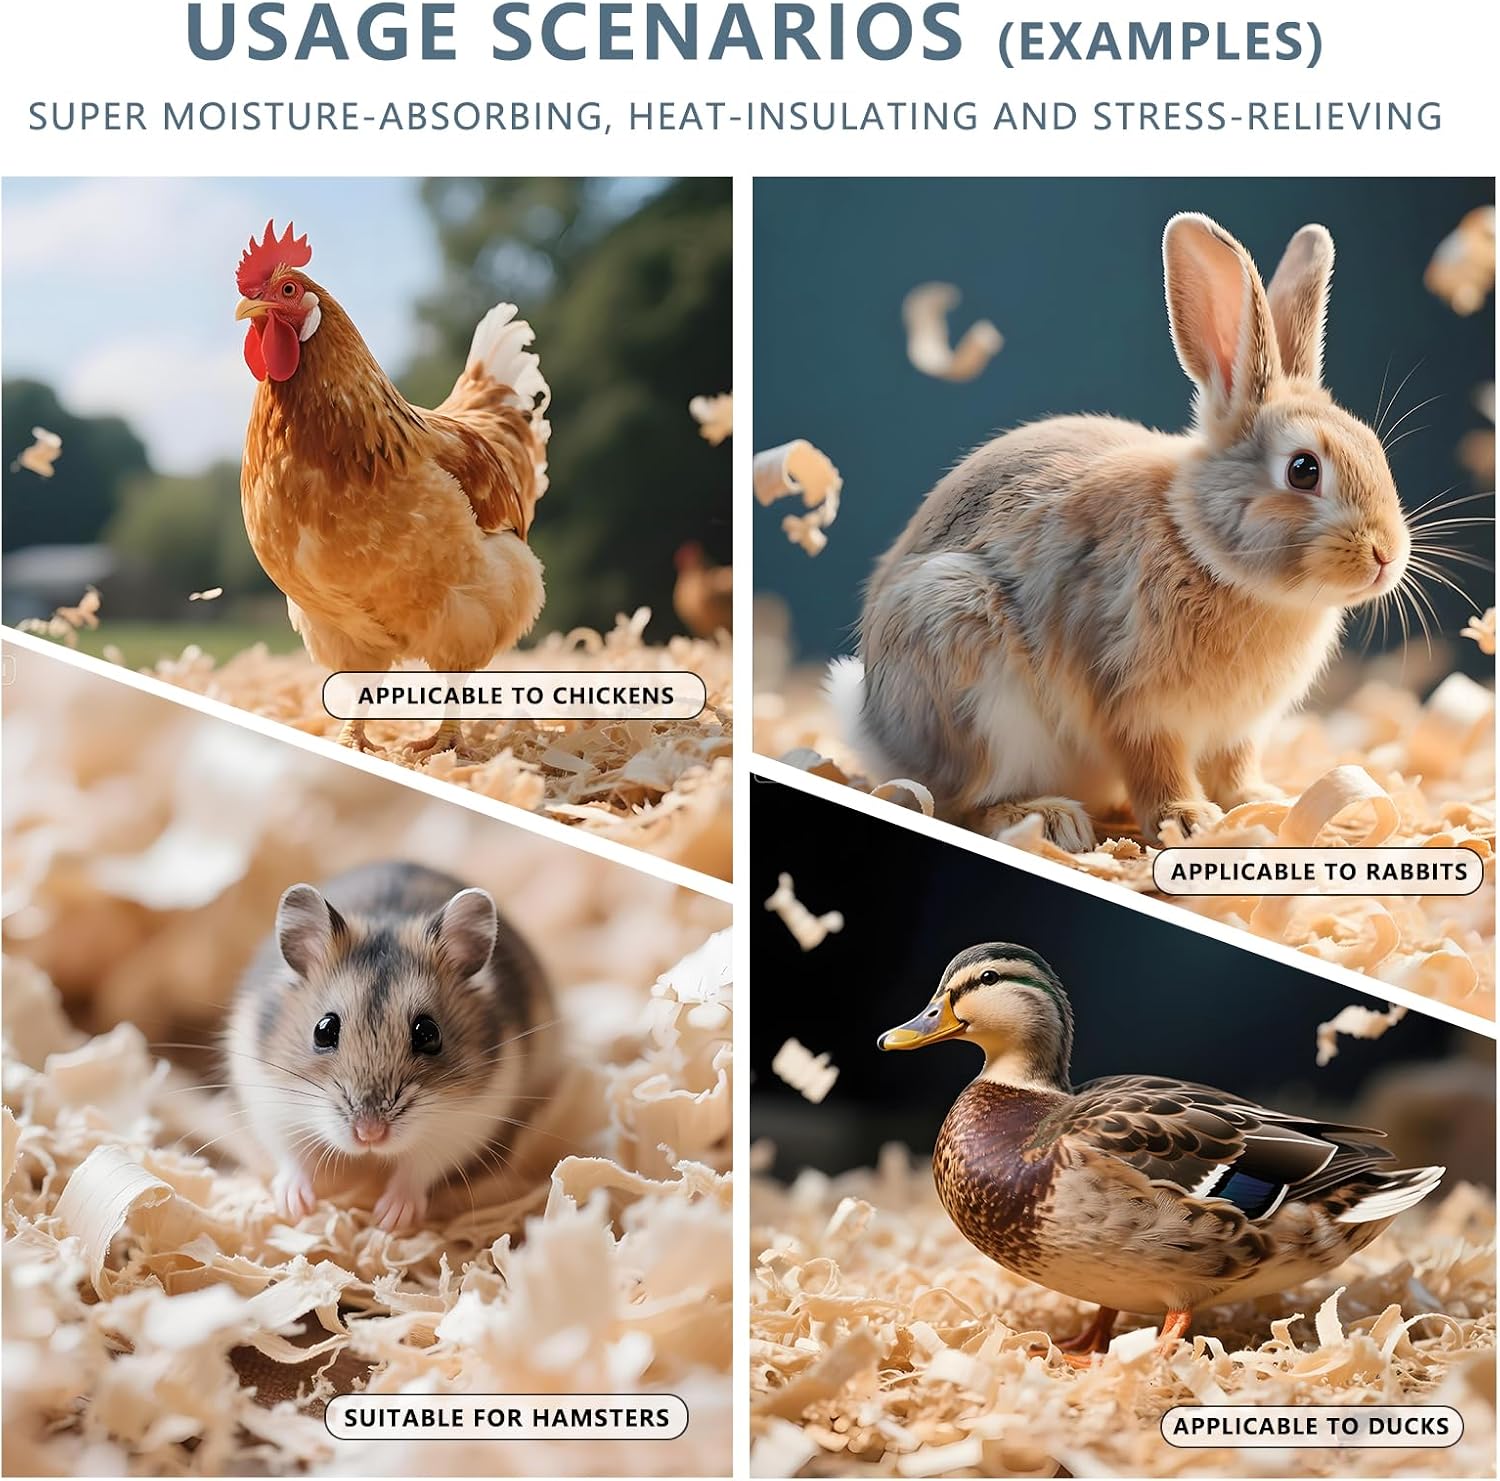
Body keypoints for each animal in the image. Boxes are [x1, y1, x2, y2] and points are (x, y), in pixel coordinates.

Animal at [228, 860, 559, 1231]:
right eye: (323, 1031)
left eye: (428, 1034)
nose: (369, 1134)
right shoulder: (272, 1105)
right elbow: (291, 1155)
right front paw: (295, 1207)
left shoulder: (462, 1125)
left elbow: (418, 1169)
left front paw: (389, 1219)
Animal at [829, 213, 1411, 849]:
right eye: (1304, 470)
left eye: (1374, 449)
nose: (1385, 555)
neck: (1200, 549)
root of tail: (873, 727)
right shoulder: (1131, 701)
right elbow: (1154, 765)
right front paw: (1190, 823)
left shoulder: (1238, 730)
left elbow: (1235, 769)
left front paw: (1267, 807)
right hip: (963, 658)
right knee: (963, 802)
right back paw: (1048, 820)